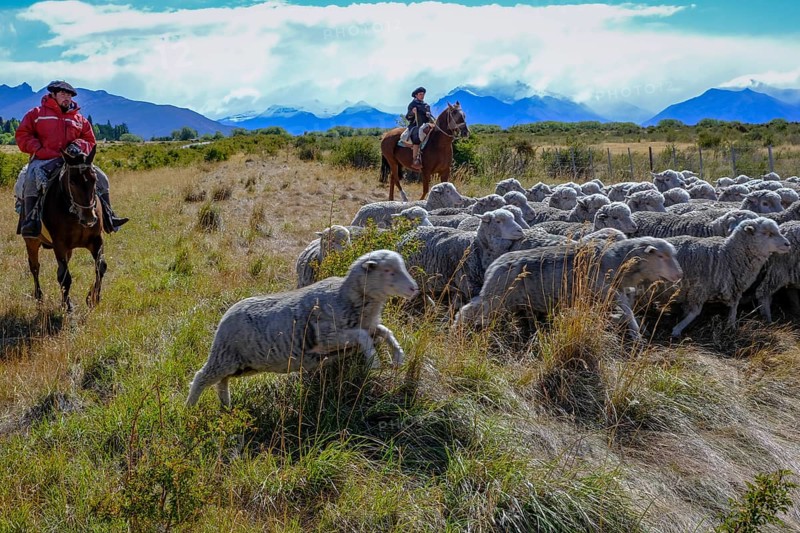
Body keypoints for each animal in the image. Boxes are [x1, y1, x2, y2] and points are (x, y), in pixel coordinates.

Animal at [187, 250, 419, 407]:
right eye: (388, 271)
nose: (414, 288)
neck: (345, 297)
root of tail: (227, 313)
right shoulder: (326, 338)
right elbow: (364, 337)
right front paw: (374, 360)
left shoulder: (365, 326)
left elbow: (384, 331)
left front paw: (398, 356)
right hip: (224, 356)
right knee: (202, 377)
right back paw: (190, 408)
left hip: (243, 365)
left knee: (222, 382)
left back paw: (226, 406)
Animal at [453, 237, 682, 338]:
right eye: (661, 256)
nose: (679, 275)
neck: (616, 262)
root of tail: (494, 265)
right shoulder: (606, 290)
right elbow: (626, 310)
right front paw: (636, 332)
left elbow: (622, 309)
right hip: (495, 297)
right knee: (467, 309)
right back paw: (457, 328)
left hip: (504, 300)